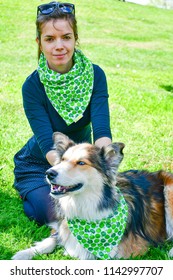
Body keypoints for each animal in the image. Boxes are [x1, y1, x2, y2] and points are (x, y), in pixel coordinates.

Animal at [11, 132, 173, 260]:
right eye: (62, 160)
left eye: (81, 163)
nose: (49, 173)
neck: (84, 205)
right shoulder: (62, 225)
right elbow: (52, 239)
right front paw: (24, 253)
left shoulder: (133, 249)